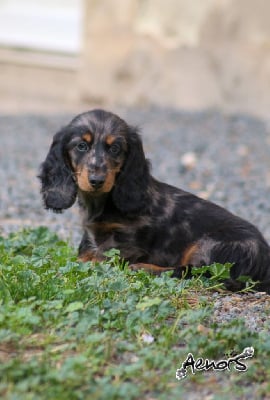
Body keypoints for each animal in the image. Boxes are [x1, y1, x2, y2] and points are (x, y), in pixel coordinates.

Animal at [39, 109, 270, 294]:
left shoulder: (127, 245)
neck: (101, 203)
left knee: (198, 273)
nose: (97, 180)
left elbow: (102, 259)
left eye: (115, 148)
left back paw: (144, 268)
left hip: (212, 246)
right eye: (81, 146)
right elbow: (83, 255)